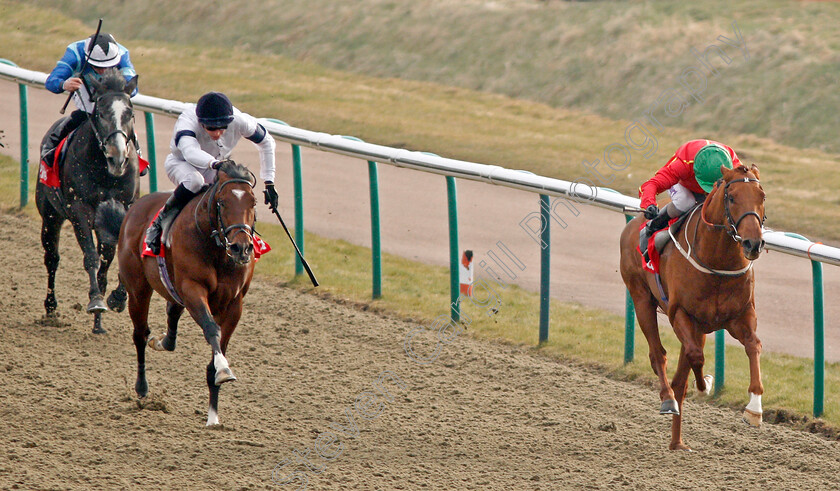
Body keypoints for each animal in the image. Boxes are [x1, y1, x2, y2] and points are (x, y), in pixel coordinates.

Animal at [34, 68, 139, 334]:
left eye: (130, 113)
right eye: (101, 113)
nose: (117, 157)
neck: (105, 172)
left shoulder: (125, 207)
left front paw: (117, 298)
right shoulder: (79, 210)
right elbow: (91, 256)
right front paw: (96, 301)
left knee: (106, 258)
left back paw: (99, 323)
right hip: (50, 215)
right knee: (52, 258)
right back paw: (51, 308)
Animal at [116, 161, 258, 426]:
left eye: (253, 202)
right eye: (222, 202)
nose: (241, 248)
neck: (216, 247)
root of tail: (137, 205)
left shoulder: (234, 303)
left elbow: (219, 345)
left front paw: (213, 416)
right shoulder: (193, 288)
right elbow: (212, 329)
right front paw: (224, 369)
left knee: (171, 313)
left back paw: (163, 341)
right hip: (138, 288)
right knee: (140, 334)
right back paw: (142, 388)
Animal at [616, 164, 768, 450]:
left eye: (762, 196)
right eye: (732, 198)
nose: (753, 243)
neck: (717, 261)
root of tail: (632, 224)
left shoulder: (741, 315)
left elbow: (753, 345)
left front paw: (754, 409)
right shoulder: (680, 314)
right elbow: (696, 356)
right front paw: (705, 384)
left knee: (679, 377)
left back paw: (677, 443)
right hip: (641, 299)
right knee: (658, 355)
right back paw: (667, 400)